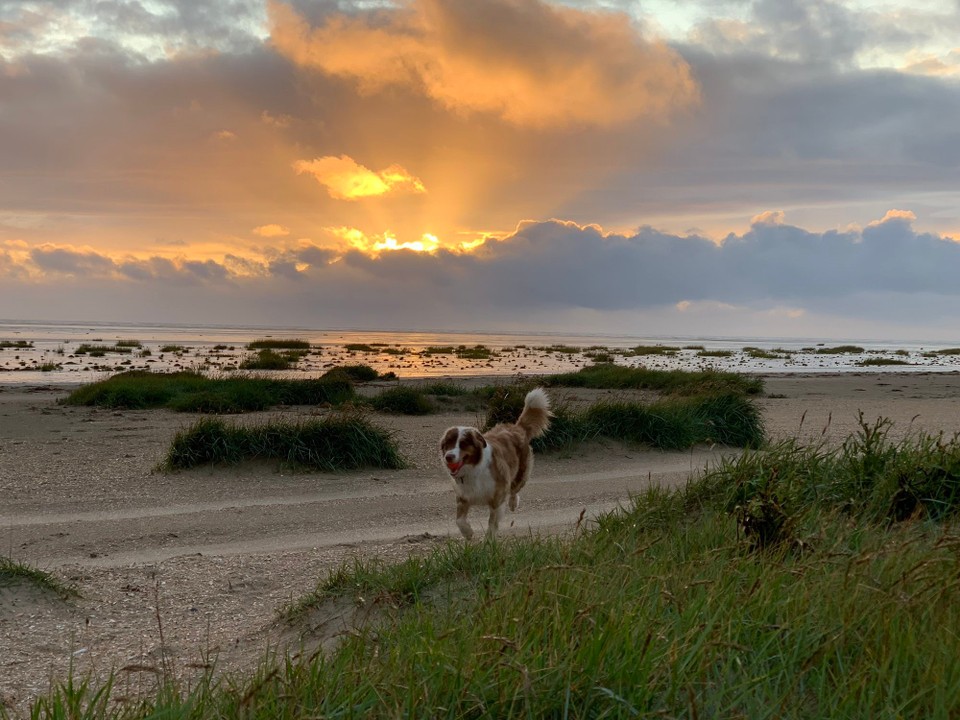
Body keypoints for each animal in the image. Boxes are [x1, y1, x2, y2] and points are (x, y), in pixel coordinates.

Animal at [438, 388, 552, 540]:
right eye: (448, 443)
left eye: (463, 444)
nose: (448, 457)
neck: (473, 470)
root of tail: (517, 427)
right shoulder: (463, 498)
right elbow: (459, 521)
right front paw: (468, 533)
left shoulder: (497, 499)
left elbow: (492, 524)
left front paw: (488, 542)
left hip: (520, 474)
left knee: (514, 490)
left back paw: (513, 503)